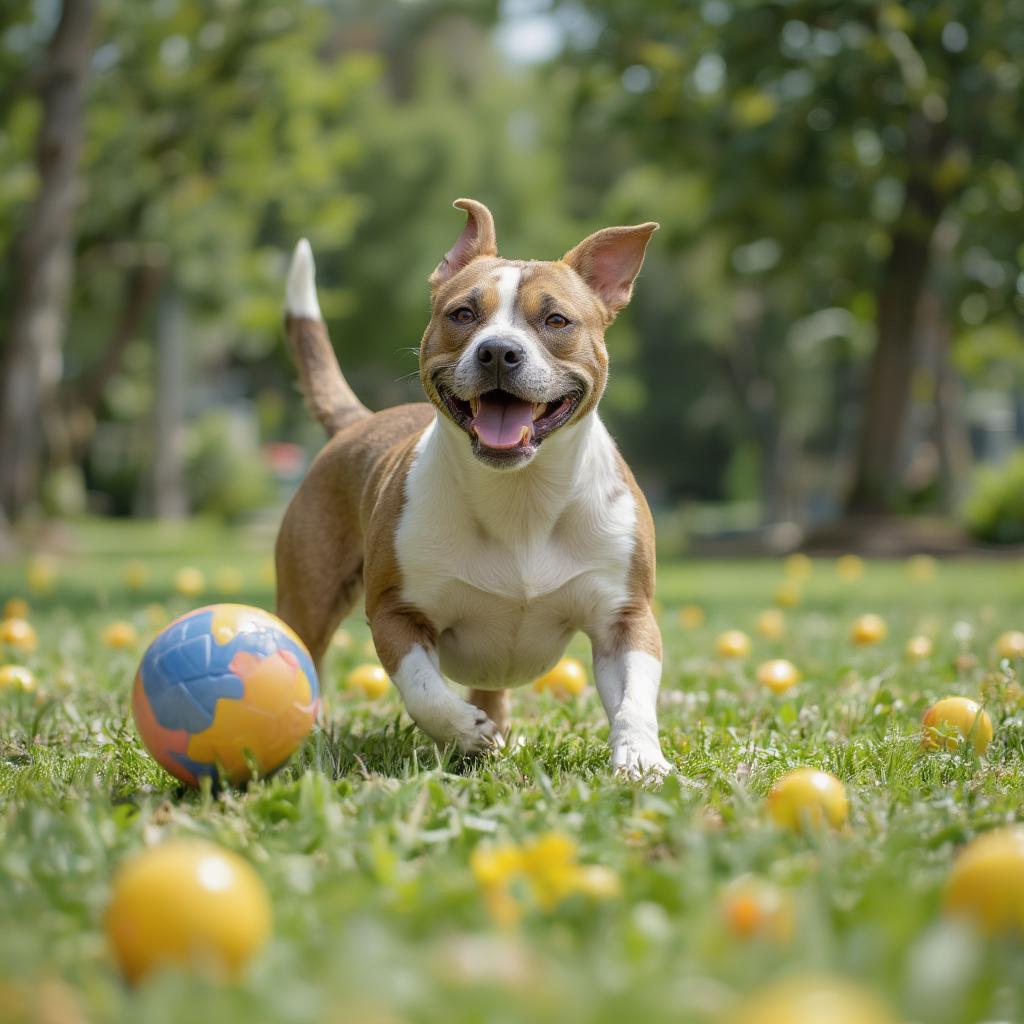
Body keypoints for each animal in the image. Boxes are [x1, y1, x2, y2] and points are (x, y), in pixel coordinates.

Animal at [276, 197, 667, 774]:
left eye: (556, 320)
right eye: (462, 314)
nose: (499, 351)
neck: (521, 495)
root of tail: (358, 422)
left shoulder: (627, 618)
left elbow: (636, 698)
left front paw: (640, 759)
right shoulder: (395, 612)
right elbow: (423, 689)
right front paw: (462, 731)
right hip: (308, 600)